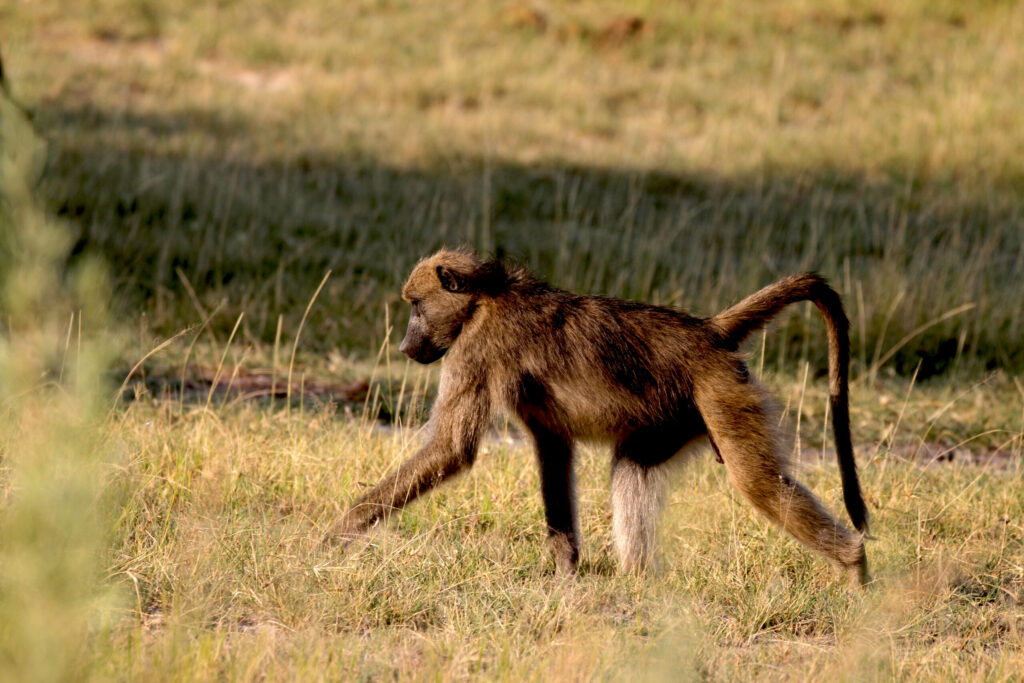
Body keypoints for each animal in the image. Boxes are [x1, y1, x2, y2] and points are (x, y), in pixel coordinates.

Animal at [331, 248, 870, 586]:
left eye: (416, 306)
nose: (406, 346)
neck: (485, 299)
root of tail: (708, 331)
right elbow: (553, 453)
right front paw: (566, 572)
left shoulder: (476, 350)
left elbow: (451, 449)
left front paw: (338, 533)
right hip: (673, 419)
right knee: (631, 468)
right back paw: (635, 581)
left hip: (723, 394)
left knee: (756, 481)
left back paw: (854, 569)